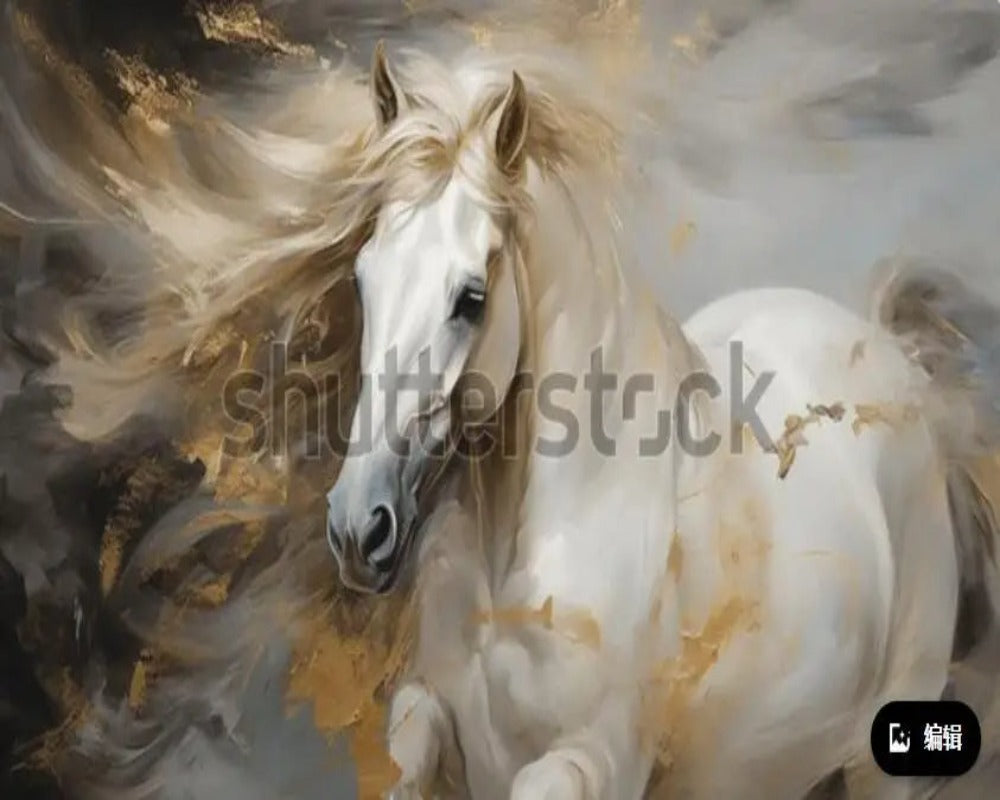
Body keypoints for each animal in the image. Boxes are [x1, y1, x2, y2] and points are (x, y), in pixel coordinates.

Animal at [324, 44, 1000, 799]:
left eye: (469, 297)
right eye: (363, 279)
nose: (358, 528)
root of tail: (887, 347)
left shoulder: (593, 760)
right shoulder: (430, 710)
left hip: (878, 760)